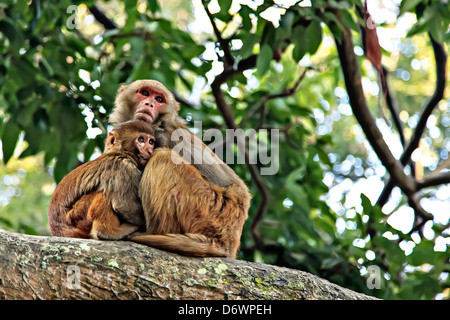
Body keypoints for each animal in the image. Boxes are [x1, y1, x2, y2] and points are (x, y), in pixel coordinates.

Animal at [109, 80, 250, 258]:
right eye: (145, 93)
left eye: (159, 99)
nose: (149, 104)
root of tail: (228, 243)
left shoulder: (165, 133)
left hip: (208, 210)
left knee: (163, 158)